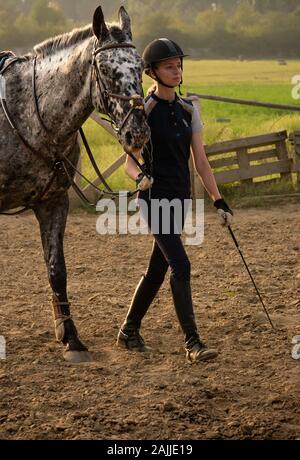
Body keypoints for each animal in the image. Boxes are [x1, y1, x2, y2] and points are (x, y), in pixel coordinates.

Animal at [0, 5, 150, 362]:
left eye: (140, 67)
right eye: (105, 70)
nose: (137, 133)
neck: (30, 115)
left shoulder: (53, 202)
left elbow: (57, 269)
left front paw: (70, 336)